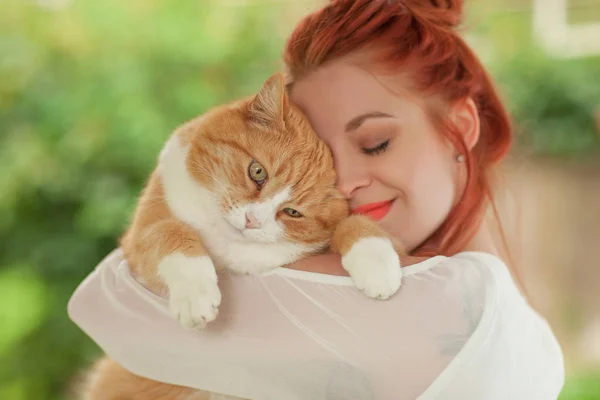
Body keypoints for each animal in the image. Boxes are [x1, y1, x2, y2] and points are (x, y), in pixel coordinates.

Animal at [83, 73, 404, 398]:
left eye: (292, 212)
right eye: (257, 172)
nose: (252, 221)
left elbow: (353, 223)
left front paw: (377, 265)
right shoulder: (140, 234)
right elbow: (171, 232)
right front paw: (196, 294)